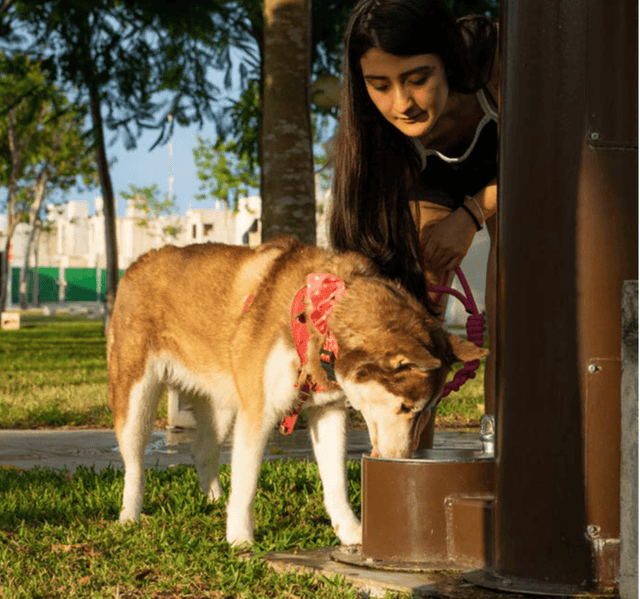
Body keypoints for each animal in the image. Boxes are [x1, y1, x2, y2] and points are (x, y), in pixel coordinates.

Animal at [107, 237, 484, 548]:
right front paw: (240, 540)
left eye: (427, 411)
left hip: (223, 404)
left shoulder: (329, 412)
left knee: (201, 451)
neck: (323, 317)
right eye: (407, 407)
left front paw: (351, 533)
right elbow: (246, 481)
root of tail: (137, 263)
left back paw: (215, 502)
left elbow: (335, 483)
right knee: (134, 463)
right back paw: (130, 515)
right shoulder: (258, 413)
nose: (403, 458)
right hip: (137, 397)